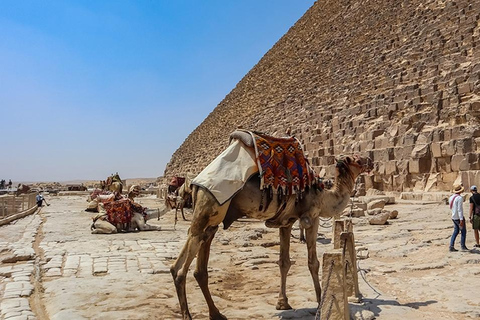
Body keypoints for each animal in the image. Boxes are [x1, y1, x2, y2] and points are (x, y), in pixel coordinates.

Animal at [171, 131, 374, 320]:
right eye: (357, 158)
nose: (371, 161)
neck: (324, 195)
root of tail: (196, 184)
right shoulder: (311, 218)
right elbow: (313, 263)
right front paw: (319, 303)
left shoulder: (286, 222)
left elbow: (284, 262)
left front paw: (282, 303)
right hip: (210, 205)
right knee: (181, 268)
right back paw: (188, 314)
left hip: (210, 221)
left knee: (196, 266)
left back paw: (216, 313)